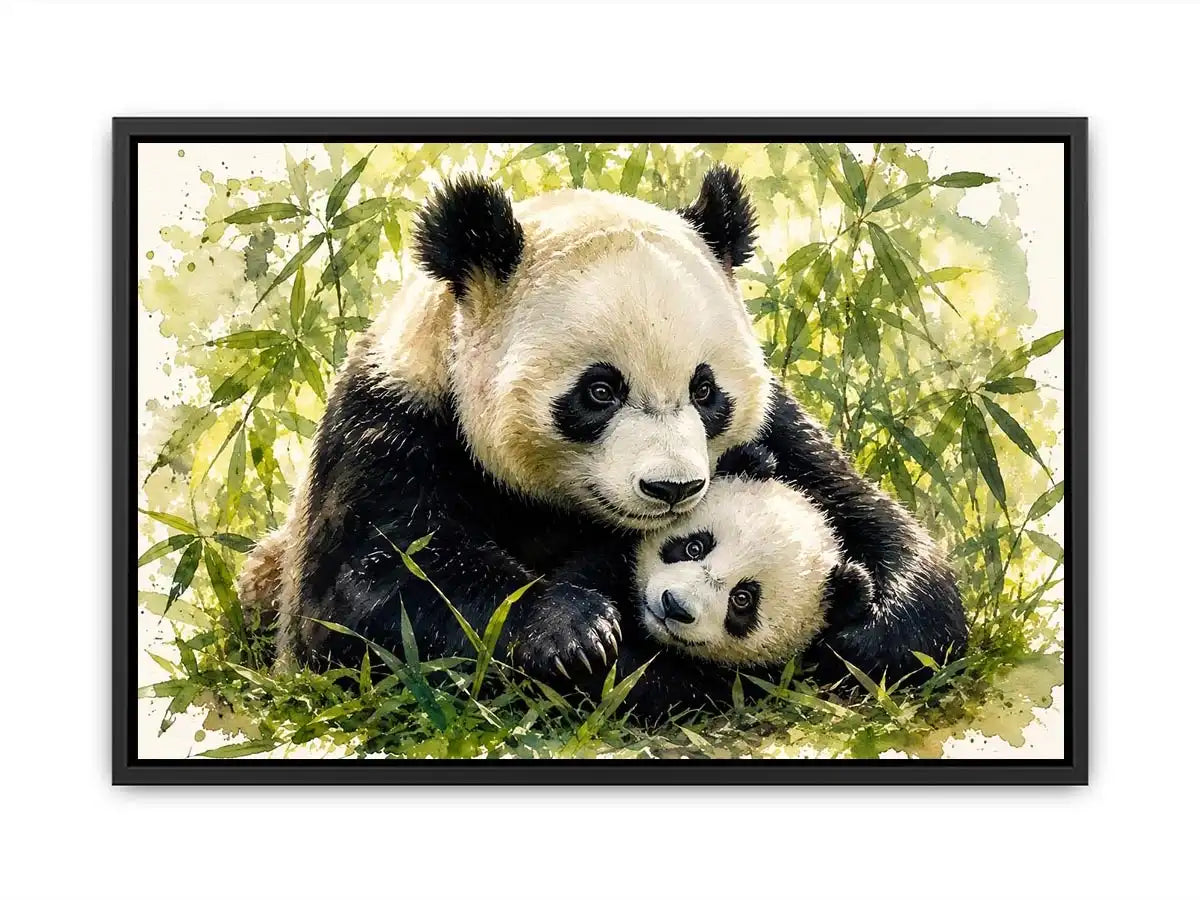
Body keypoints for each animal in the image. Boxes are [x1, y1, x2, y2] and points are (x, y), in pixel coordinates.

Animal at [241, 164, 966, 699]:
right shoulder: (391, 426)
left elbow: (866, 514)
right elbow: (365, 602)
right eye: (599, 391)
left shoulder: (782, 428)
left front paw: (872, 630)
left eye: (706, 390)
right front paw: (573, 632)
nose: (673, 488)